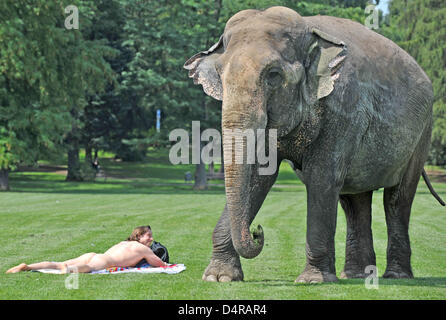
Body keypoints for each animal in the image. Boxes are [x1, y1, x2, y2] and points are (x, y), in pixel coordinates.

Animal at [182, 6, 442, 282]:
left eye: (273, 74)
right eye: (220, 75)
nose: (258, 231)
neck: (309, 30)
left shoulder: (344, 106)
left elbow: (322, 176)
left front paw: (313, 280)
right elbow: (259, 176)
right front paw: (219, 277)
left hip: (422, 131)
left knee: (396, 199)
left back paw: (396, 275)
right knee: (354, 201)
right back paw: (356, 275)